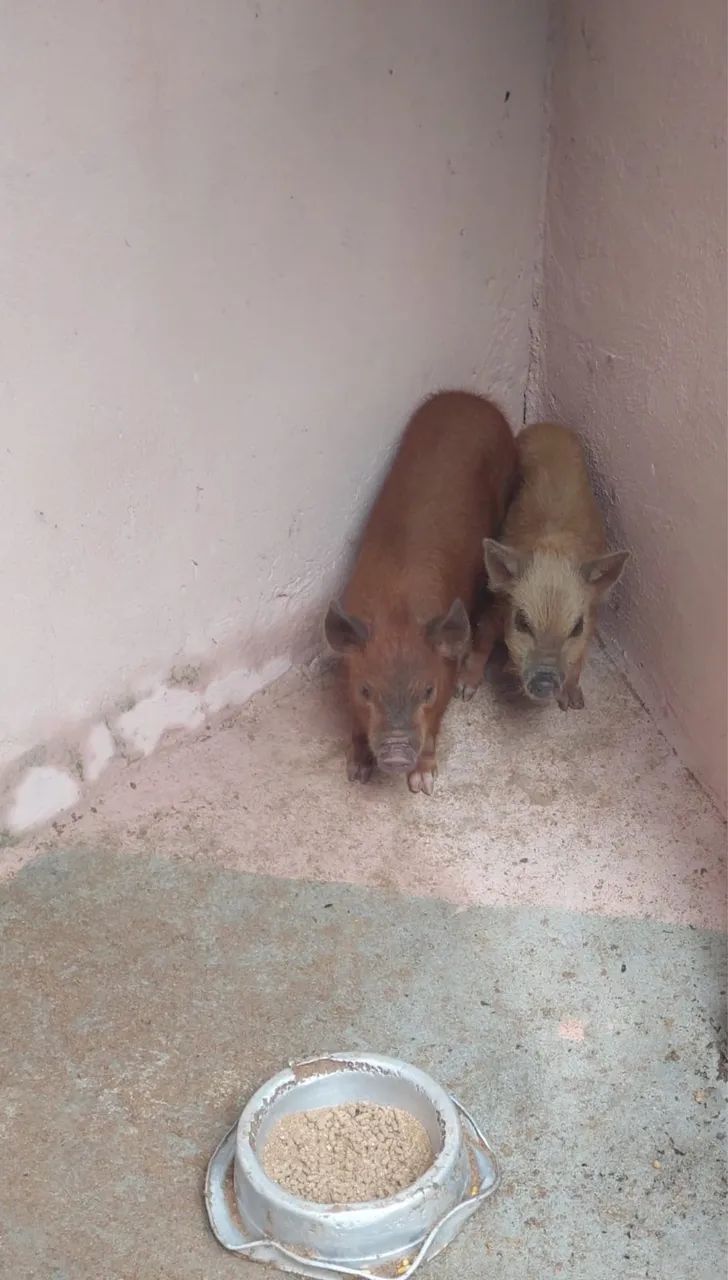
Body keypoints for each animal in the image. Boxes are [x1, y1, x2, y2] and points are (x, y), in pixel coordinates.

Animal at [324, 391, 517, 794]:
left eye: (426, 691)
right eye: (366, 691)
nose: (397, 756)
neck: (397, 610)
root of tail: (471, 399)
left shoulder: (444, 673)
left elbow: (435, 727)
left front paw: (423, 783)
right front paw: (357, 772)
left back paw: (468, 690)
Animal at [482, 421, 629, 710]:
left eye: (576, 627)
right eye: (522, 622)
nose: (545, 681)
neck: (554, 551)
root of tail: (547, 425)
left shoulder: (591, 621)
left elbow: (580, 657)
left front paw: (574, 704)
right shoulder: (499, 605)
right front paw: (466, 689)